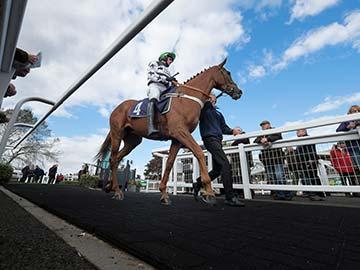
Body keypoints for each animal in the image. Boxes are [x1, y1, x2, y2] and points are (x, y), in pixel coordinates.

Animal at [95, 58, 242, 205]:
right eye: (228, 73)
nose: (239, 91)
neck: (186, 98)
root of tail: (117, 108)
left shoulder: (177, 139)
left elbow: (170, 163)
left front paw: (164, 194)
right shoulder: (180, 132)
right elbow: (199, 152)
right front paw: (209, 192)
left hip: (132, 141)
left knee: (117, 158)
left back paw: (110, 186)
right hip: (117, 134)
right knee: (113, 159)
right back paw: (117, 191)